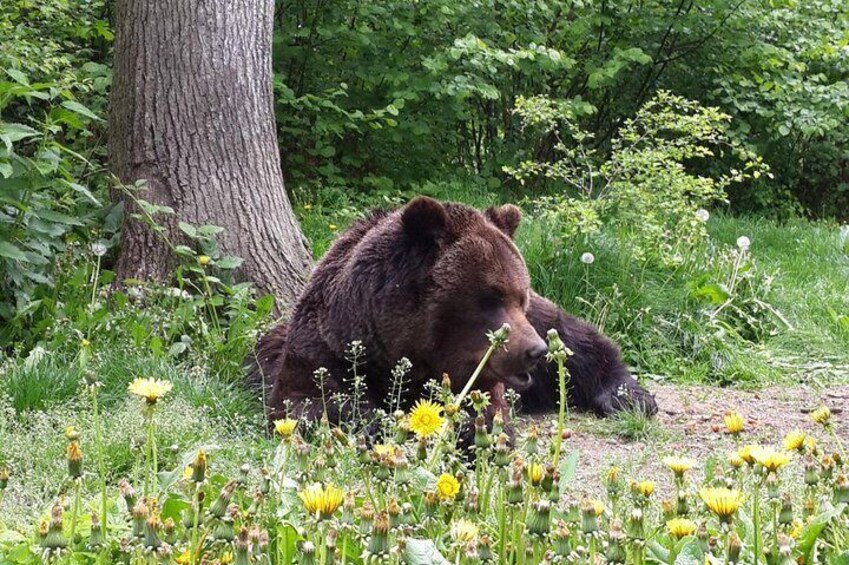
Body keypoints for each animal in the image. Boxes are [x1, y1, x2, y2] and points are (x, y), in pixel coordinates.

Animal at [252, 196, 656, 426]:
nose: (535, 350)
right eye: (491, 297)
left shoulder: (485, 370)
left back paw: (629, 397)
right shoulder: (328, 347)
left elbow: (485, 411)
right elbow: (310, 400)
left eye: (519, 296)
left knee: (580, 343)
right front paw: (375, 422)